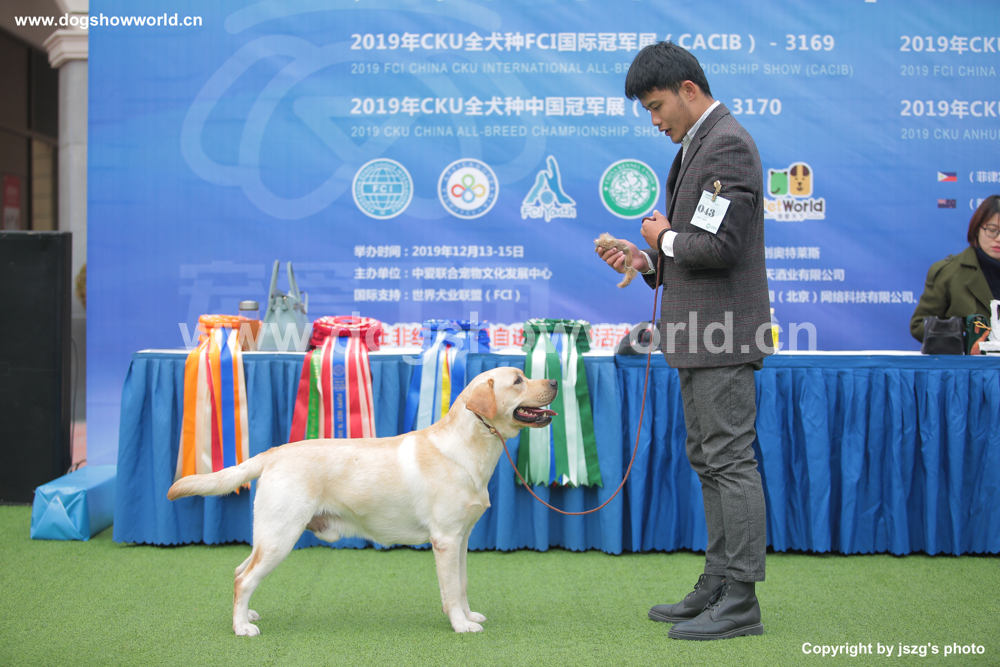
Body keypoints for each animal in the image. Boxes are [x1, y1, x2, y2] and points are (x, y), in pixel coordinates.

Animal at [167, 367, 557, 636]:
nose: (554, 382)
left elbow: (460, 584)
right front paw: (461, 625)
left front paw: (468, 615)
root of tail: (272, 452)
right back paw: (241, 628)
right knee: (244, 579)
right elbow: (449, 589)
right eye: (518, 380)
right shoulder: (445, 539)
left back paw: (244, 615)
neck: (470, 449)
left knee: (239, 571)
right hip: (281, 534)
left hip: (268, 534)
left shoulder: (461, 539)